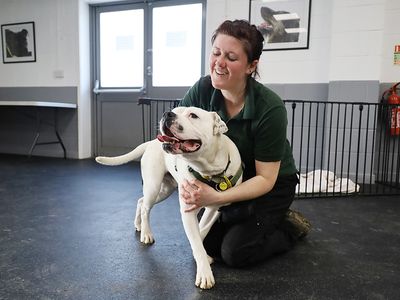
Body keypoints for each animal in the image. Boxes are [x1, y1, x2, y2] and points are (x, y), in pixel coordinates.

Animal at [95, 106, 242, 290]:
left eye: (193, 115)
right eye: (175, 110)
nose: (167, 114)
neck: (210, 170)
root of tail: (151, 142)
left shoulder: (214, 208)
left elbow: (201, 232)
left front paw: (200, 256)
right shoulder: (188, 211)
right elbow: (196, 239)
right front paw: (204, 273)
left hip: (165, 190)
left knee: (140, 201)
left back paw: (138, 225)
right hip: (153, 186)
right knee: (146, 208)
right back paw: (146, 233)